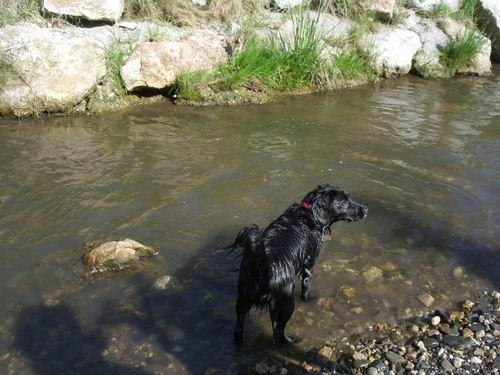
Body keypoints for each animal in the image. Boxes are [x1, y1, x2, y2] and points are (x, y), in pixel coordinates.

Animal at [227, 184, 368, 346]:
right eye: (344, 201)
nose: (366, 210)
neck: (310, 214)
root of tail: (263, 263)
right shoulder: (309, 266)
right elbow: (306, 291)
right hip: (286, 301)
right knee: (279, 331)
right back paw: (291, 341)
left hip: (243, 298)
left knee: (238, 327)